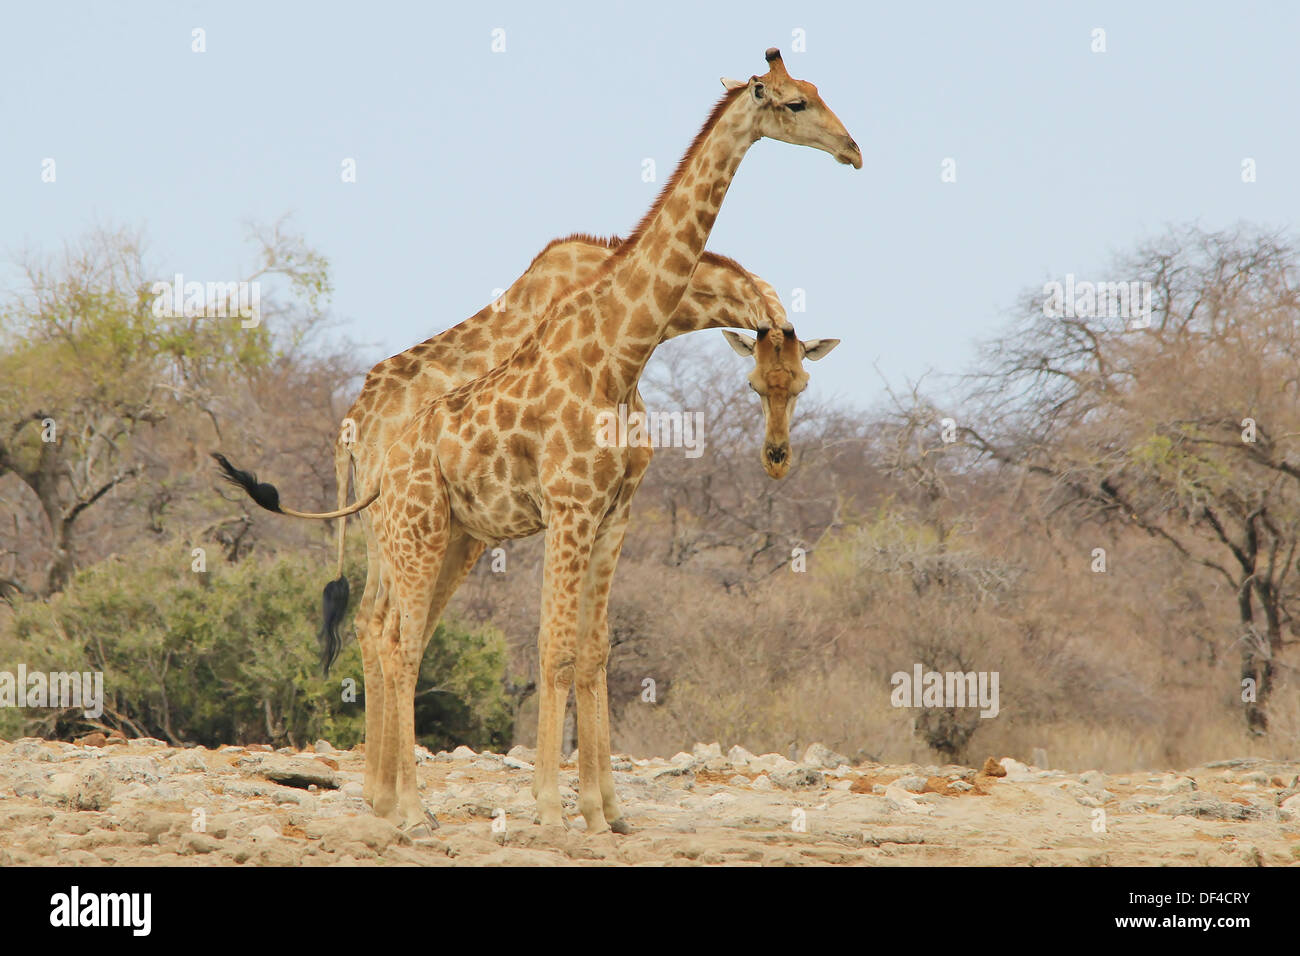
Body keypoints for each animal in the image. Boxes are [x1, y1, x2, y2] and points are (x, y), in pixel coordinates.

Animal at [213, 235, 842, 806]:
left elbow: (590, 645)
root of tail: (349, 427)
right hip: (411, 525)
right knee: (383, 623)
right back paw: (388, 795)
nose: (777, 458)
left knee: (382, 622)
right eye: (755, 385)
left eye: (801, 385)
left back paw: (382, 792)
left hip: (425, 530)